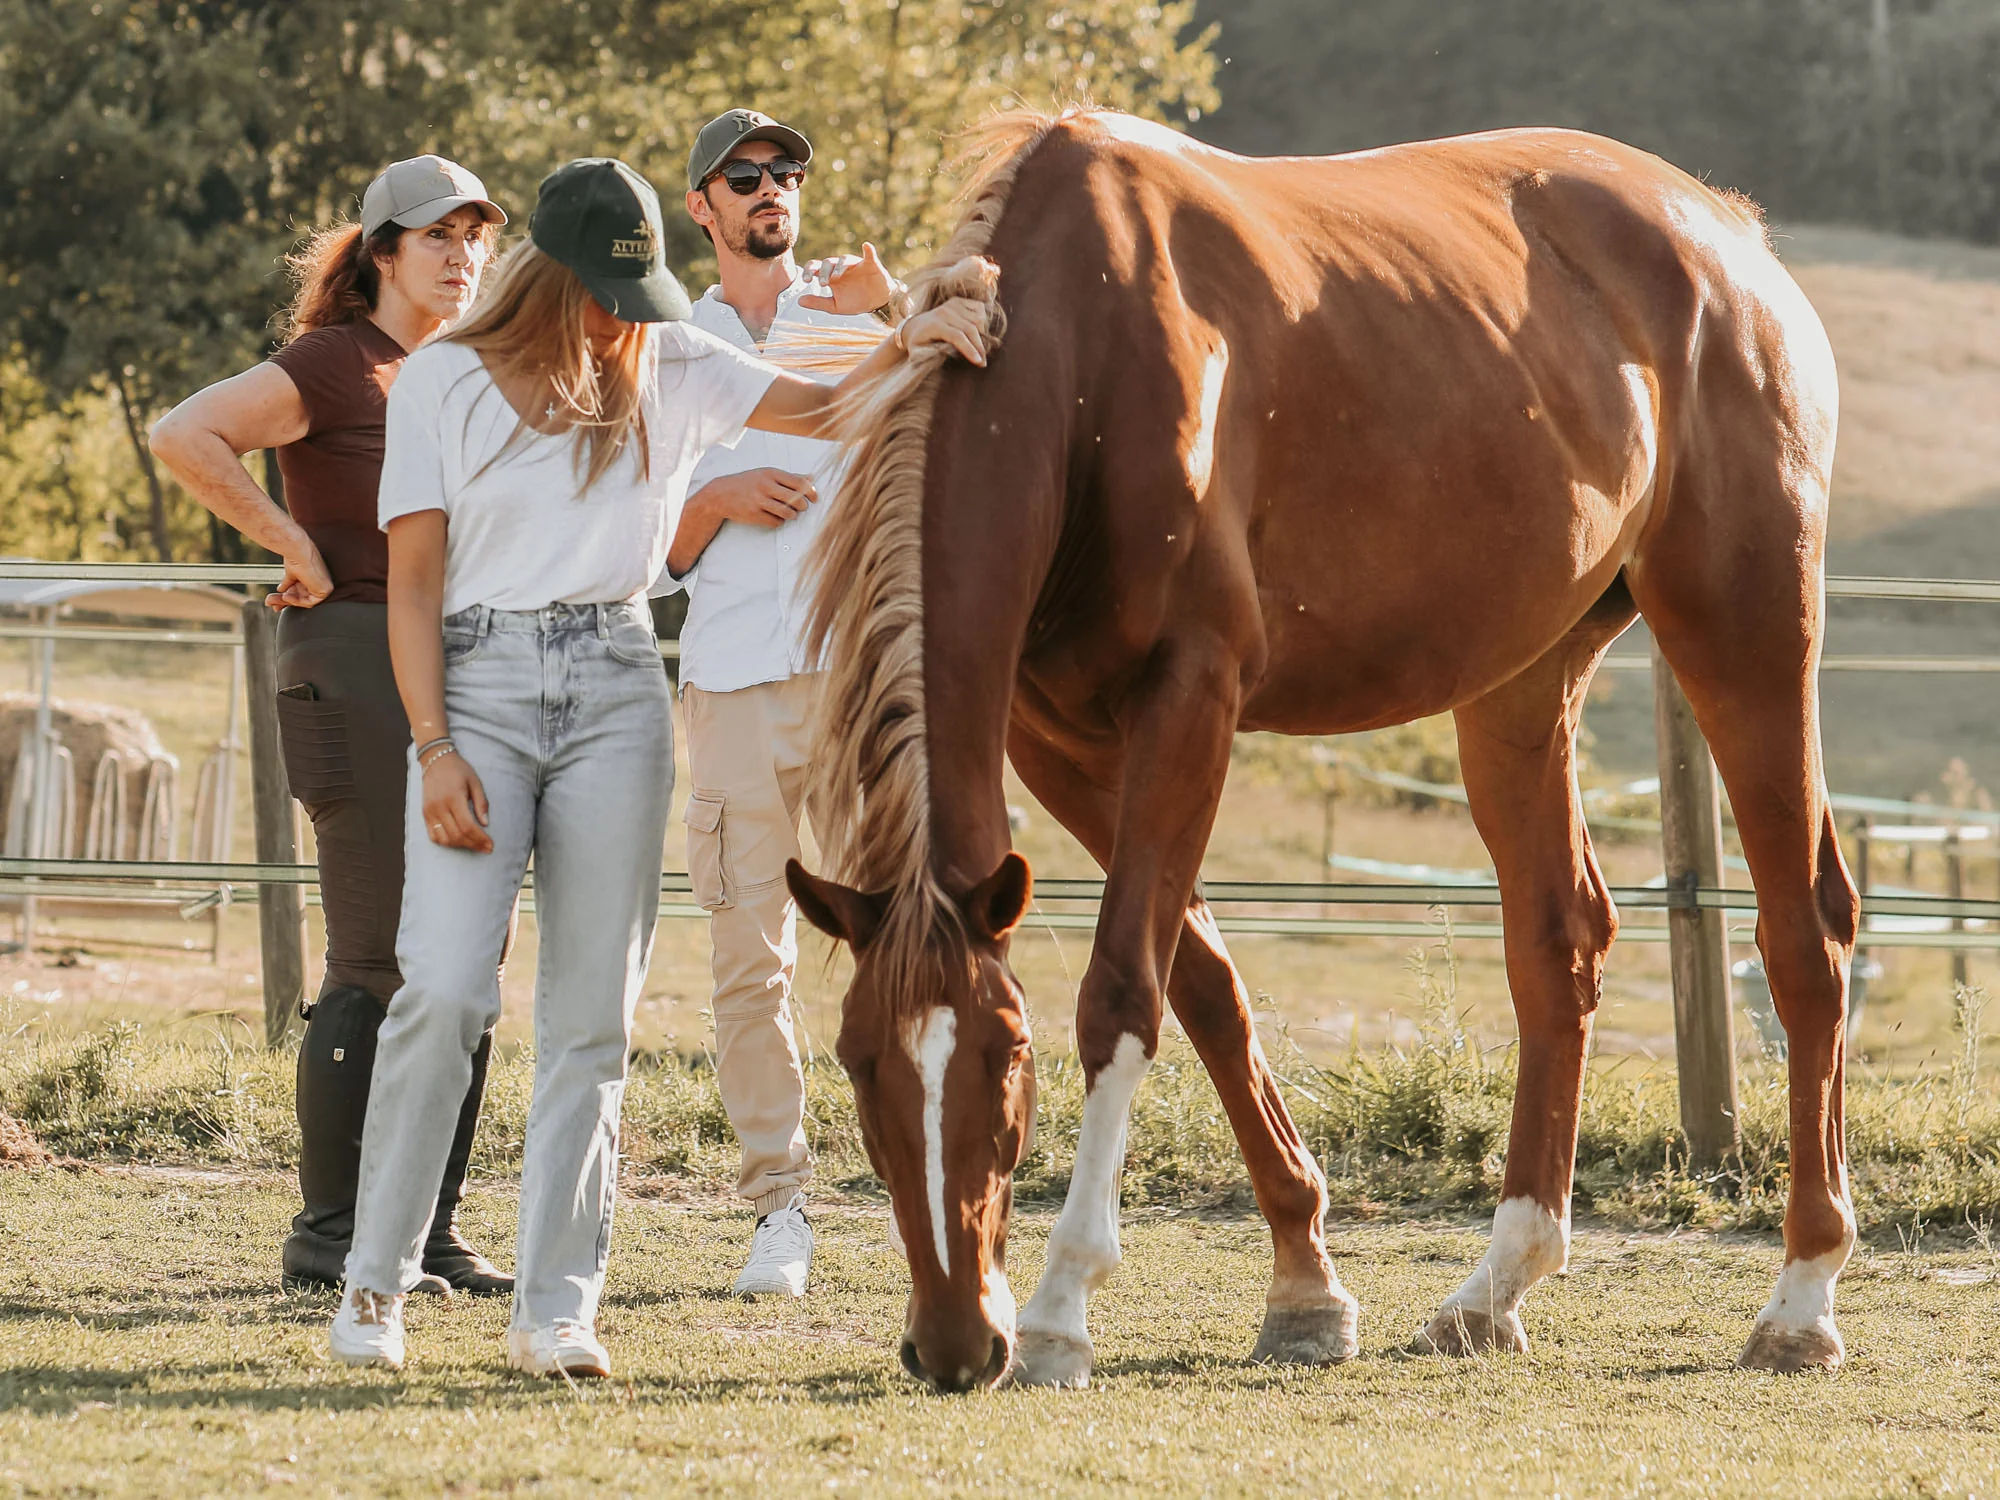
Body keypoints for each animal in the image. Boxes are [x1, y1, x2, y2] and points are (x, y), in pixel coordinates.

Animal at [786, 106, 1855, 1393]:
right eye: (857, 1064)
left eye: (1003, 1056)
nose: (951, 1345)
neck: (1085, 357)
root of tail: (1726, 233)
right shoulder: (1060, 745)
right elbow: (1204, 986)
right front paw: (1304, 1283)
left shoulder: (1188, 703)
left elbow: (1120, 990)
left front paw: (1057, 1309)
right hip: (1519, 684)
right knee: (1558, 945)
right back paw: (1494, 1286)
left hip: (1744, 633)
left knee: (1803, 936)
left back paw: (1799, 1299)